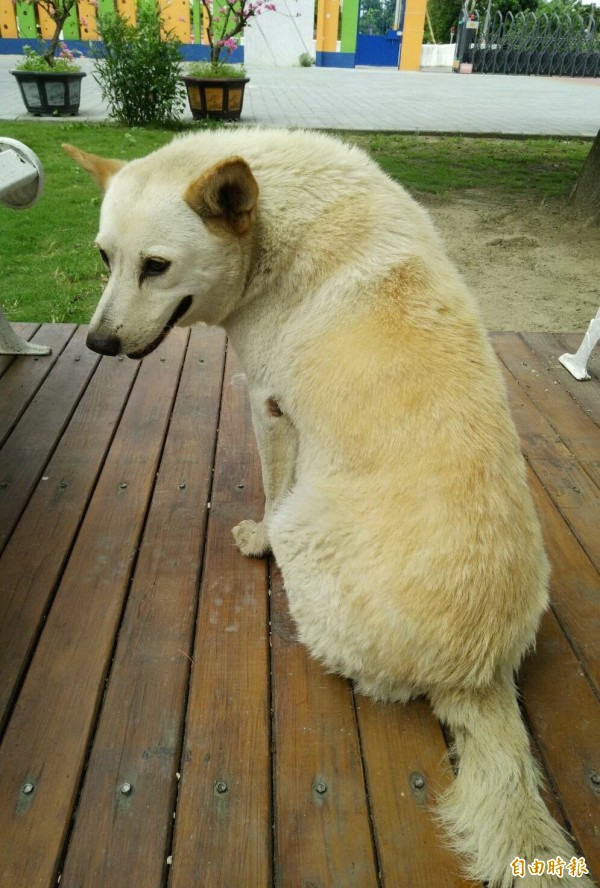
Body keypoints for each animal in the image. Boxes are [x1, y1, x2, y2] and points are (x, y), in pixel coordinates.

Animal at [64, 132, 592, 888]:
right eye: (106, 260)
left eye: (156, 266)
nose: (98, 345)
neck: (276, 222)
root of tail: (483, 673)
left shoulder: (267, 405)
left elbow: (270, 483)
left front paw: (254, 536)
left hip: (309, 545)